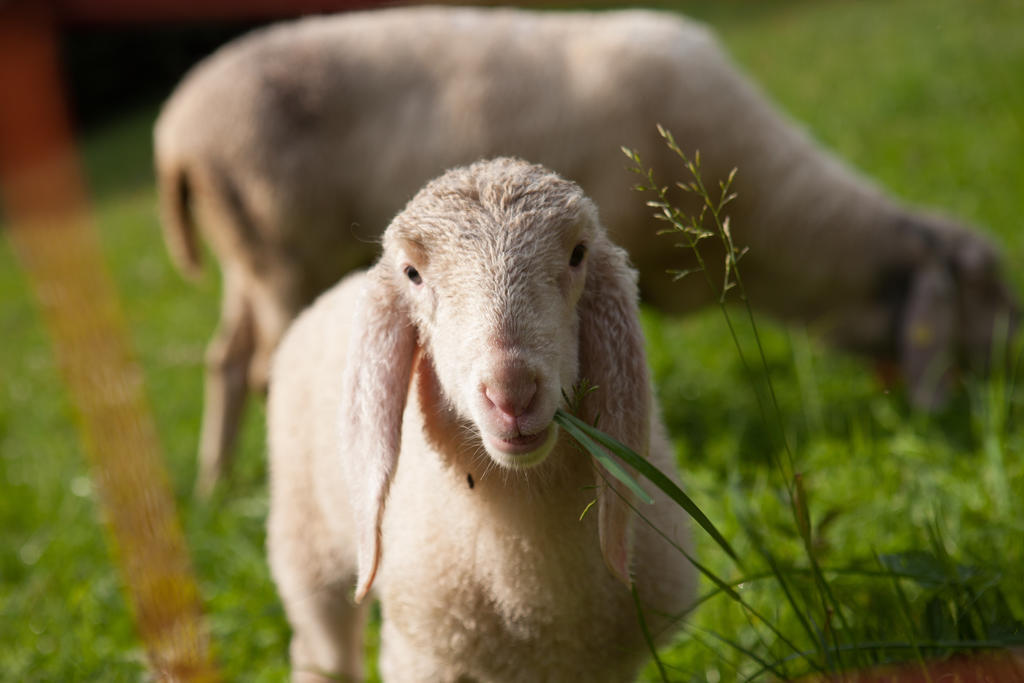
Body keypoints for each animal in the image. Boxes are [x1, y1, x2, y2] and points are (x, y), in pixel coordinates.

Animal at [153, 6, 1015, 497]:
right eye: (989, 296)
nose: (1002, 392)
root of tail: (176, 135)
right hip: (279, 254)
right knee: (266, 368)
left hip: (249, 261)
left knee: (227, 360)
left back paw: (214, 487)